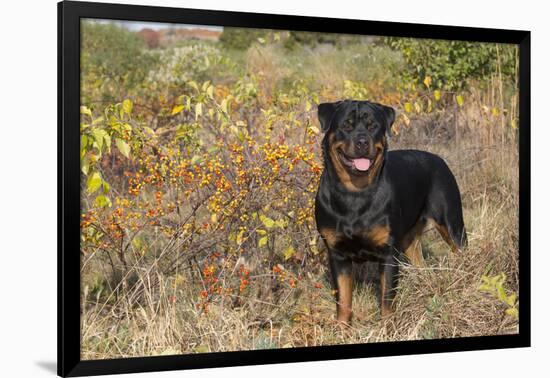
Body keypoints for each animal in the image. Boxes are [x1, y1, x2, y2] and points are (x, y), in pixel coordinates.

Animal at [316, 99, 468, 322]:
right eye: (346, 125)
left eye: (373, 126)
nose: (362, 141)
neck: (355, 193)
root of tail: (438, 159)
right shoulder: (337, 254)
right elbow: (343, 301)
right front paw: (342, 326)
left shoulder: (388, 254)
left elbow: (386, 299)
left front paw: (388, 325)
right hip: (408, 240)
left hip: (452, 224)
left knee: (459, 247)